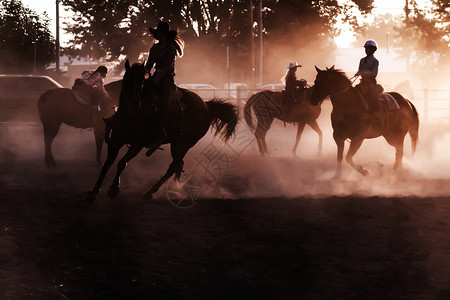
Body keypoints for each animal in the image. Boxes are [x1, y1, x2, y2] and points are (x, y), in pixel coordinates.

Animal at [85, 61, 237, 202]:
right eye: (128, 78)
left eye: (143, 81)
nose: (135, 101)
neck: (132, 115)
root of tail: (206, 106)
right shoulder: (116, 141)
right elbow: (107, 165)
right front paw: (93, 192)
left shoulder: (137, 144)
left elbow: (122, 162)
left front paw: (114, 188)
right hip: (178, 144)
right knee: (178, 165)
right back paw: (175, 189)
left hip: (182, 144)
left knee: (174, 166)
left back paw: (152, 192)